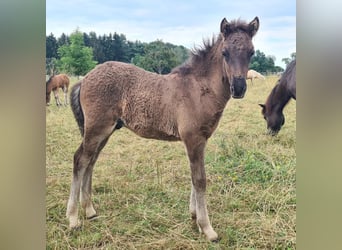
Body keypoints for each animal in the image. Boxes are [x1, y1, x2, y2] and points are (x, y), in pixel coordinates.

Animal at [66, 16, 260, 241]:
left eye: (251, 52)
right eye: (225, 53)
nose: (239, 88)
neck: (199, 89)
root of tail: (84, 78)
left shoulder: (201, 139)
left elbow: (194, 177)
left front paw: (194, 216)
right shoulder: (193, 138)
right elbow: (200, 179)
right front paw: (207, 228)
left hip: (105, 131)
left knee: (91, 161)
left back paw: (89, 210)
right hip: (97, 128)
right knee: (80, 160)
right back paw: (73, 219)